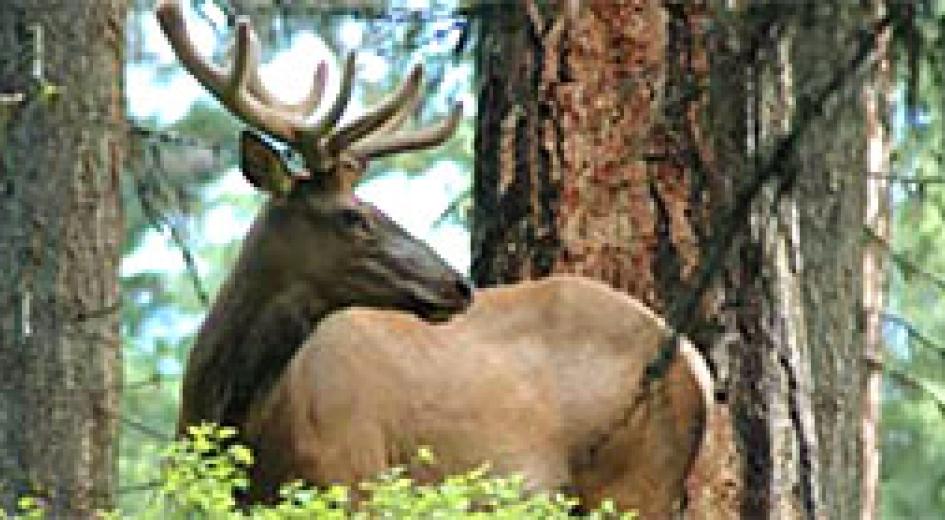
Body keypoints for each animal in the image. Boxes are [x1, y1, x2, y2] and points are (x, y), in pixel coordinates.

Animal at [156, 1, 713, 517]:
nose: (458, 285)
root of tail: (697, 366)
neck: (238, 417)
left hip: (634, 480)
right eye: (353, 216)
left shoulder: (353, 478)